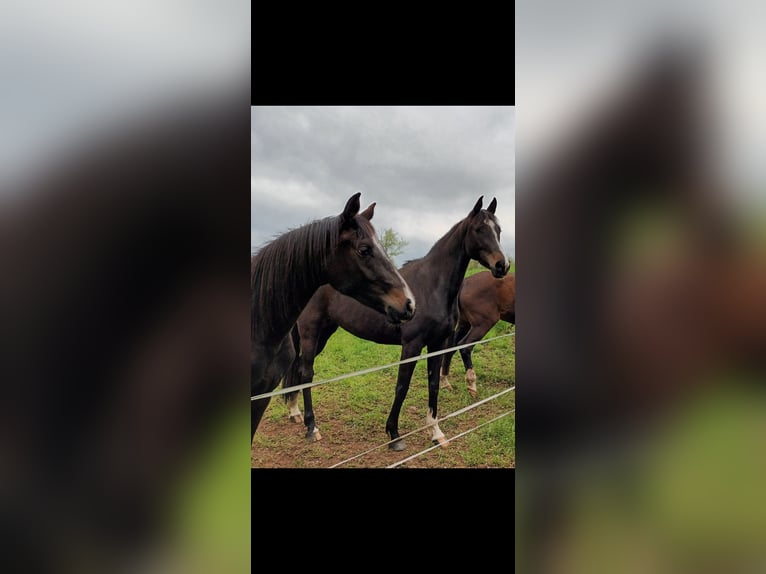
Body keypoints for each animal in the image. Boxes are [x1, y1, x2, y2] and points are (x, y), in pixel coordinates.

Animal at [282, 196, 510, 452]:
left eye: (498, 229)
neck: (432, 286)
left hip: (324, 333)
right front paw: (394, 435)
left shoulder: (438, 344)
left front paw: (436, 433)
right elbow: (402, 386)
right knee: (306, 372)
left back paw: (294, 412)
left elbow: (433, 384)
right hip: (311, 332)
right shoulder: (412, 344)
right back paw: (312, 427)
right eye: (479, 229)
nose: (502, 265)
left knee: (298, 369)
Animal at [440, 268, 520, 396]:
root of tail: (465, 283)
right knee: (465, 346)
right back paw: (471, 383)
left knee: (451, 347)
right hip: (482, 325)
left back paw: (445, 382)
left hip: (464, 323)